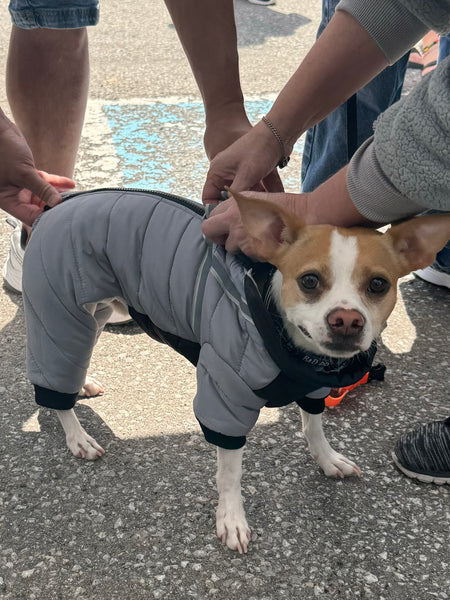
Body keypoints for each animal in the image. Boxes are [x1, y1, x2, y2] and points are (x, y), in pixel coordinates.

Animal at [22, 188, 450, 552]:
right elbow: (230, 473)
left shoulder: (313, 390)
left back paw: (83, 384)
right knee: (54, 381)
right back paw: (77, 434)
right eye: (310, 280)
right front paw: (231, 519)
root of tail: (56, 204)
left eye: (378, 285)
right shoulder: (224, 401)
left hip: (97, 311)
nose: (346, 320)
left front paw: (327, 459)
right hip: (58, 310)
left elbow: (314, 428)